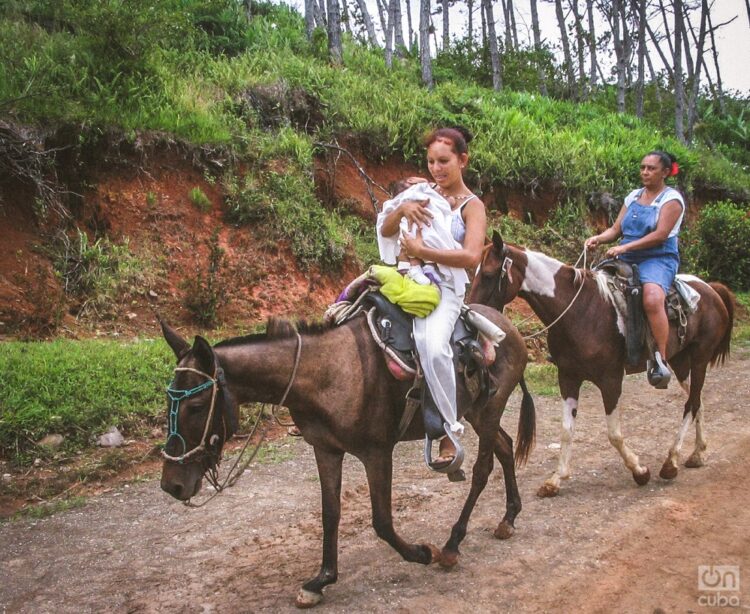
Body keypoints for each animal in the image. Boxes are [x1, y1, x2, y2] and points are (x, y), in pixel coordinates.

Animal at [160, 304, 536, 608]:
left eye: (196, 406)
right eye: (168, 402)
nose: (171, 485)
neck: (325, 374)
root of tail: (510, 328)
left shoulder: (377, 453)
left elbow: (382, 521)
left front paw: (419, 553)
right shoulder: (326, 450)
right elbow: (330, 513)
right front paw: (321, 580)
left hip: (487, 411)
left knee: (483, 468)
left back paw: (453, 544)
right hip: (476, 414)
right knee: (504, 447)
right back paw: (508, 517)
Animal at [470, 233, 736, 498]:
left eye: (488, 274)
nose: (474, 311)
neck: (581, 311)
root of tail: (710, 288)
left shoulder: (611, 380)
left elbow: (614, 434)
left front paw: (639, 471)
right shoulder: (568, 377)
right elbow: (566, 430)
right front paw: (556, 480)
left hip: (700, 357)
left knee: (691, 404)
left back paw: (671, 462)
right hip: (680, 361)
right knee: (698, 399)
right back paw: (698, 453)